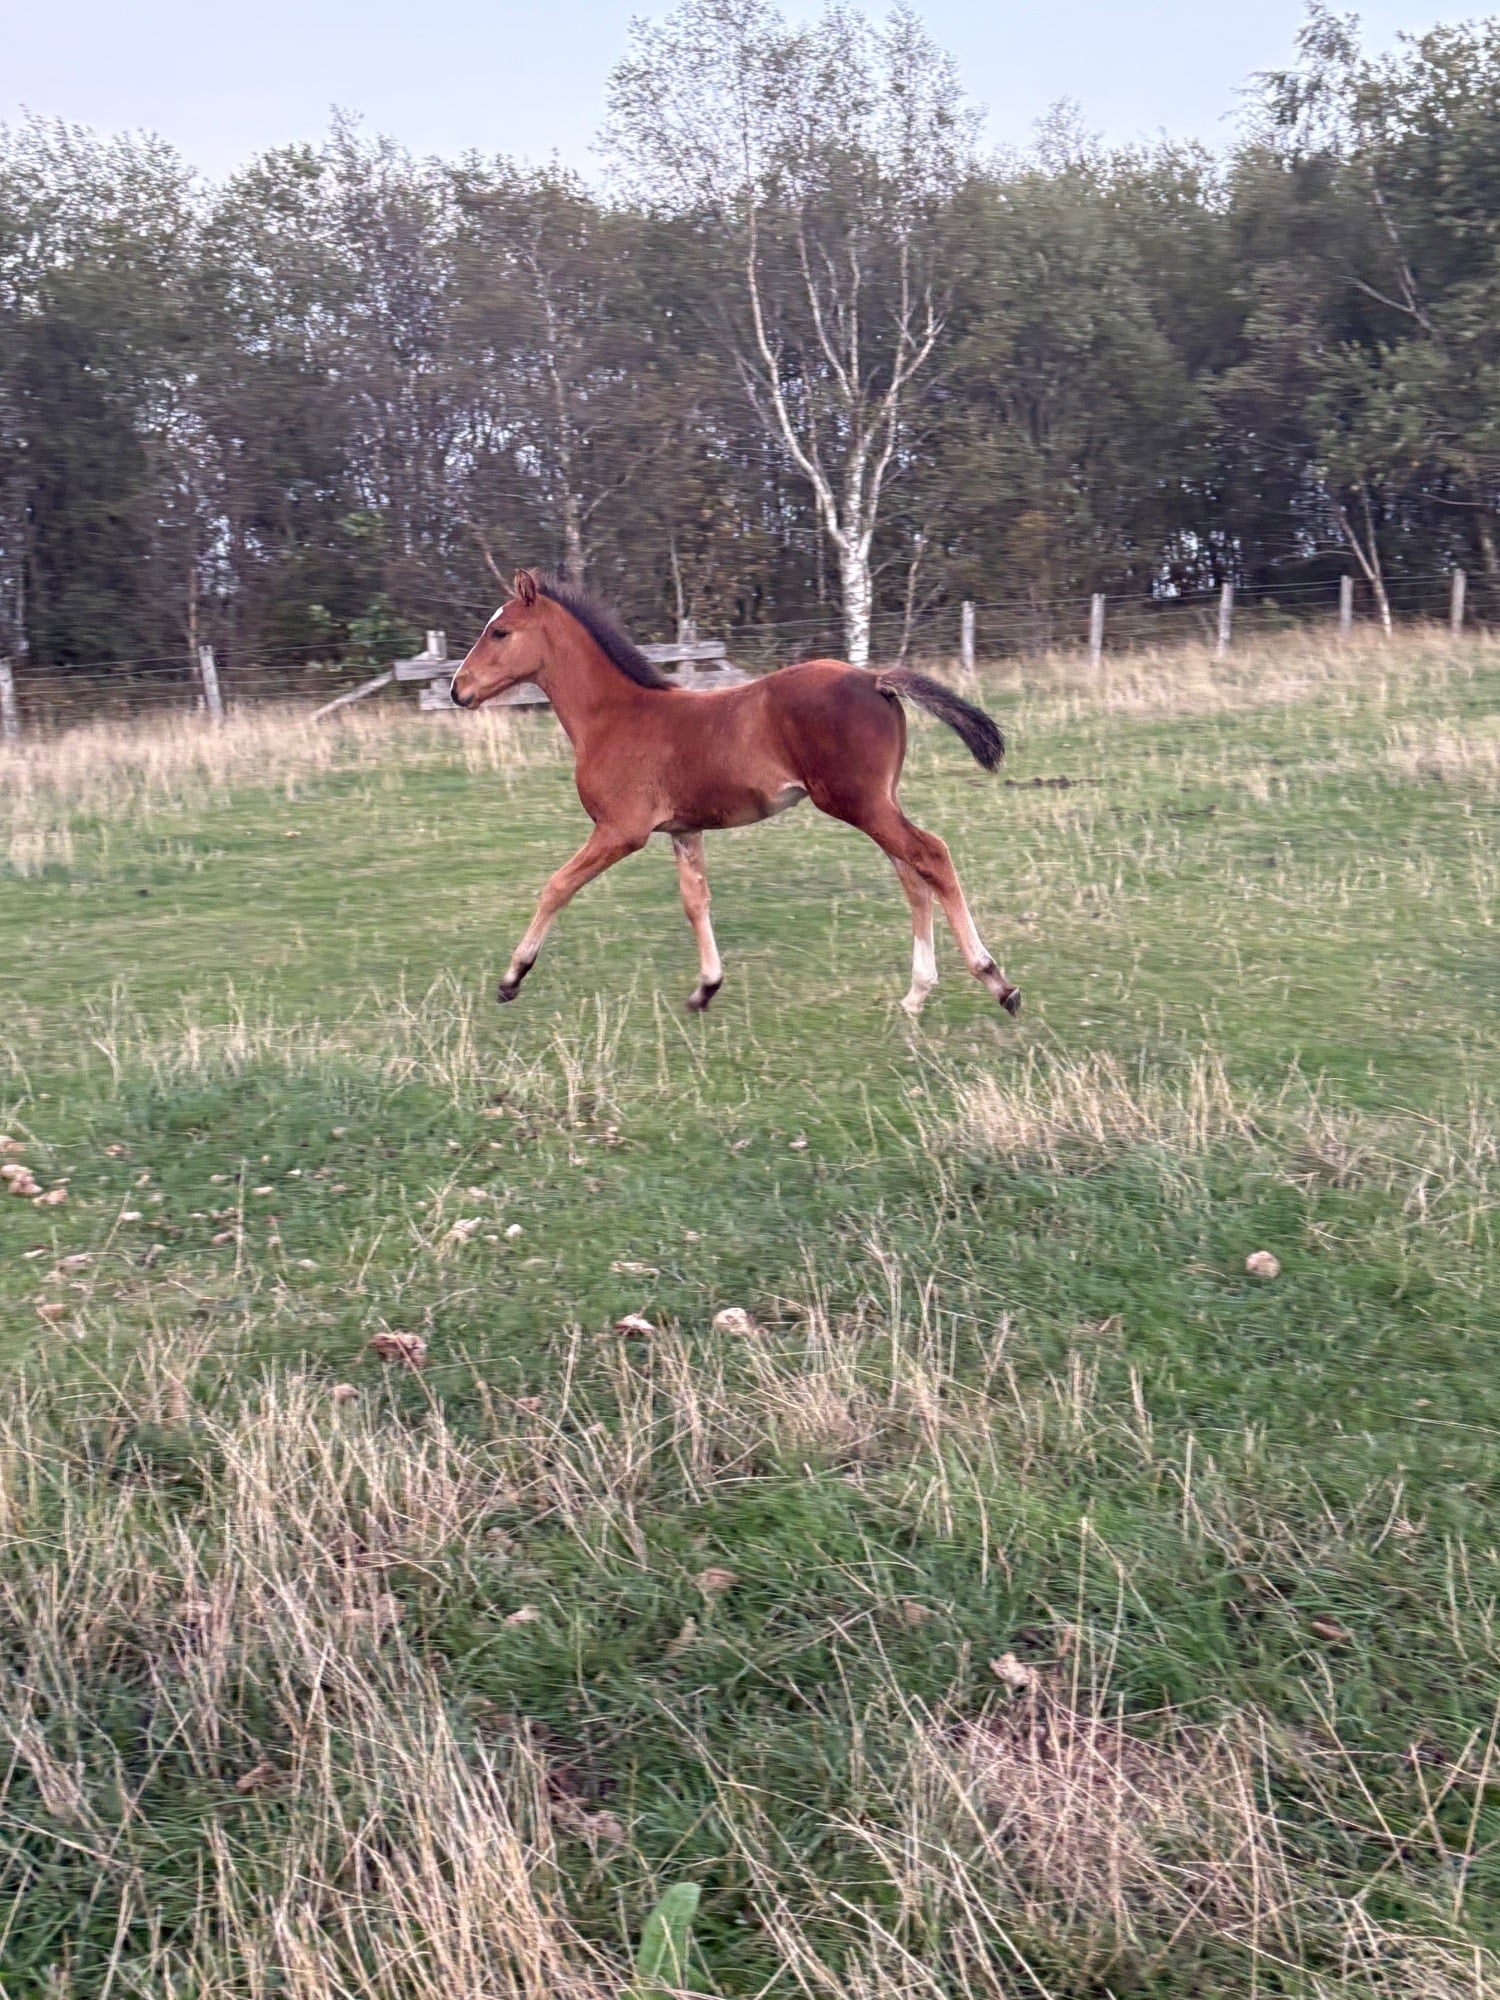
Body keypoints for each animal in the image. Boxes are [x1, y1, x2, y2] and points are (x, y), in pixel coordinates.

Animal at [450, 569, 1021, 1021]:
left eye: (500, 631)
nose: (458, 689)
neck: (613, 717)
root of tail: (874, 677)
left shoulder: (620, 830)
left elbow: (556, 886)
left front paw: (511, 978)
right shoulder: (683, 829)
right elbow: (695, 901)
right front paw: (706, 988)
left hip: (859, 803)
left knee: (932, 855)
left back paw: (997, 982)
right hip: (877, 803)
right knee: (912, 876)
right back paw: (917, 994)